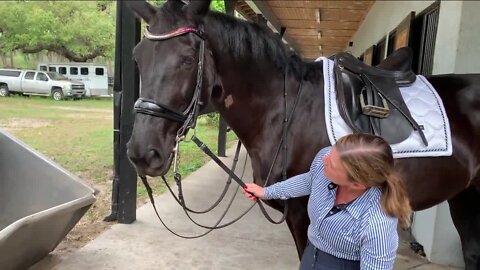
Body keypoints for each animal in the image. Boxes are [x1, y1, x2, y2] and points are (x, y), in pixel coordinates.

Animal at [124, 0, 480, 268]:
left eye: (187, 60)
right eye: (137, 57)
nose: (143, 153)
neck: (285, 113)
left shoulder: (307, 218)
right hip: (465, 196)